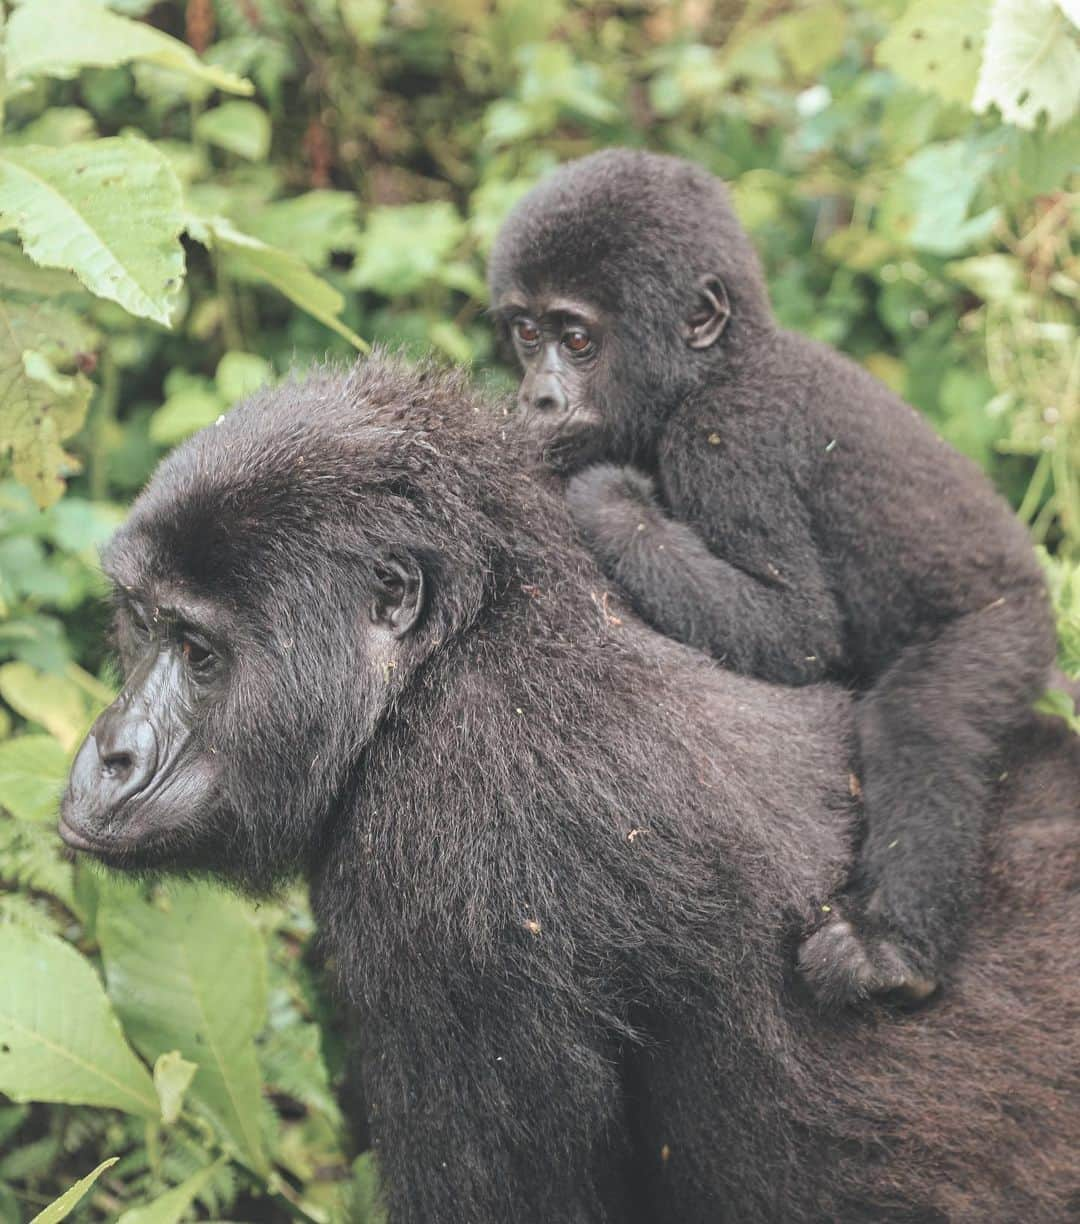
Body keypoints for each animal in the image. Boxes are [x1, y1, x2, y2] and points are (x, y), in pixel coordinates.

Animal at [487, 145, 1053, 1003]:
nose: (538, 397)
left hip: (1007, 625)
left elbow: (798, 632)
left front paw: (608, 501)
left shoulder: (727, 439)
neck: (716, 364)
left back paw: (892, 951)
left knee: (921, 717)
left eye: (577, 341)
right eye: (525, 333)